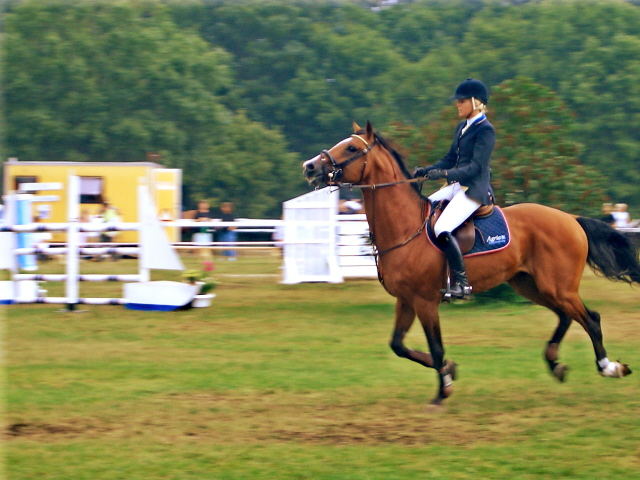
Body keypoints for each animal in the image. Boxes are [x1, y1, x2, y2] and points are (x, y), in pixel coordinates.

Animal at [304, 121, 640, 404]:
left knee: (590, 319)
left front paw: (443, 390)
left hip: (557, 287)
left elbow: (436, 346)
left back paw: (609, 367)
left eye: (351, 148)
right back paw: (555, 363)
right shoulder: (406, 300)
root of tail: (570, 218)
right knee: (566, 317)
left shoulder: (425, 301)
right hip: (531, 285)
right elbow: (399, 346)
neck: (404, 227)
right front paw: (450, 370)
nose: (309, 167)